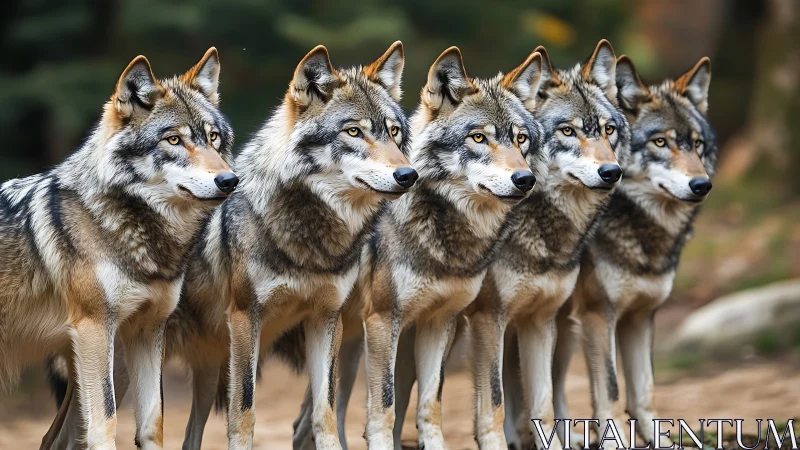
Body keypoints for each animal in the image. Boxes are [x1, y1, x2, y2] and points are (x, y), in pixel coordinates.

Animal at [0, 48, 237, 450]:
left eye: (214, 137)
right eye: (174, 140)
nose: (230, 180)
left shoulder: (148, 330)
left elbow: (153, 423)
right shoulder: (94, 328)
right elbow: (106, 422)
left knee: (53, 438)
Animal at [162, 42, 416, 450]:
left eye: (393, 132)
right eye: (354, 131)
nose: (409, 175)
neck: (310, 241)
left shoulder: (326, 318)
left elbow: (324, 413)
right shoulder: (244, 318)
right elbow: (244, 413)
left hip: (208, 369)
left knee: (190, 435)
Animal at [457, 40, 631, 450]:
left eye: (608, 129)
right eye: (568, 130)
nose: (612, 172)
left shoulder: (538, 316)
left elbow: (544, 397)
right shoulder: (489, 315)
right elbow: (496, 396)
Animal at [551, 55, 717, 449]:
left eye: (697, 144)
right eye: (660, 142)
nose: (702, 185)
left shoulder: (641, 317)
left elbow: (645, 389)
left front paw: (659, 441)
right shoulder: (599, 316)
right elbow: (610, 391)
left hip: (561, 328)